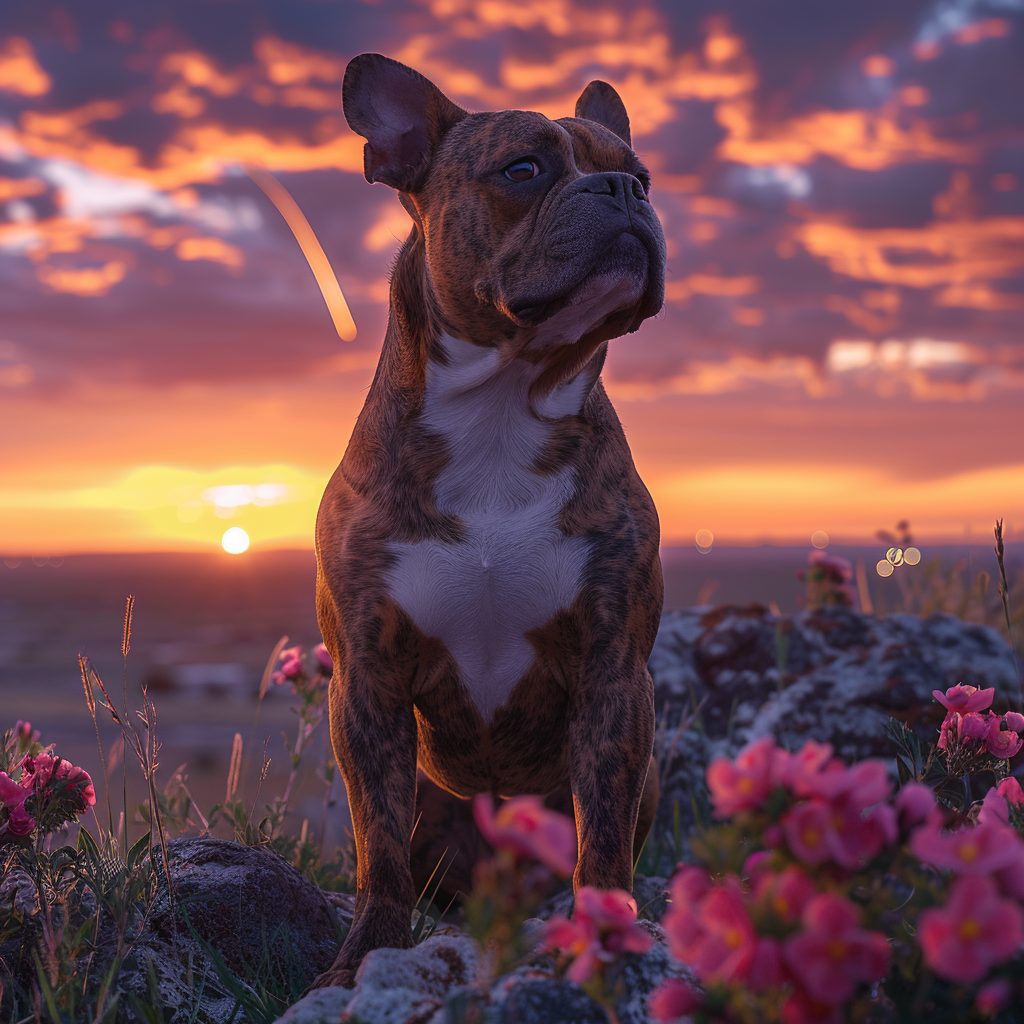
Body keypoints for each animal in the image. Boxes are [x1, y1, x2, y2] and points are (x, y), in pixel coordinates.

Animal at [315, 51, 667, 987]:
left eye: (645, 175)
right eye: (524, 170)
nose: (624, 189)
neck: (503, 410)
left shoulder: (614, 672)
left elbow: (604, 836)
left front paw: (608, 931)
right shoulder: (366, 679)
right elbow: (377, 844)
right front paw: (364, 955)